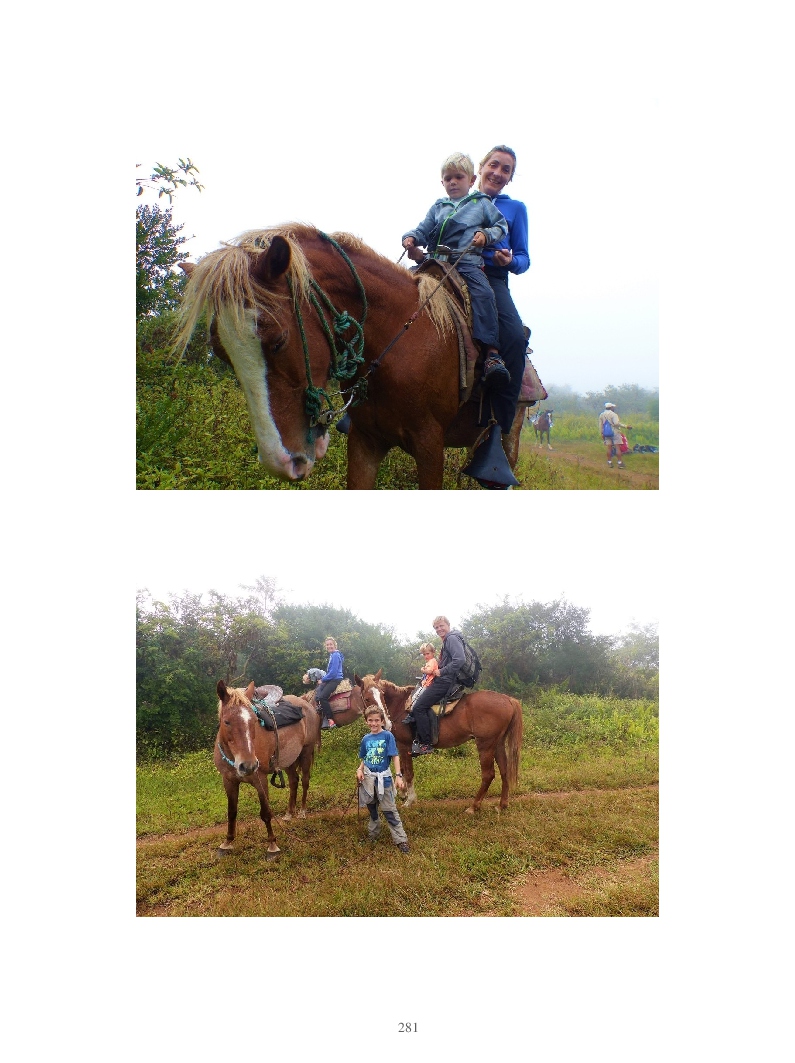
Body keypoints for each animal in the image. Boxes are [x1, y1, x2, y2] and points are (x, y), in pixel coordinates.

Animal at [175, 225, 525, 489]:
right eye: (222, 354)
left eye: (278, 342)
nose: (282, 462)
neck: (400, 339)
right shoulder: (365, 440)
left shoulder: (429, 446)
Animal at [214, 680, 322, 856]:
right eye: (227, 722)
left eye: (253, 721)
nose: (248, 765)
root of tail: (306, 703)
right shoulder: (228, 781)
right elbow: (232, 812)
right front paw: (227, 842)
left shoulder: (261, 781)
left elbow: (265, 813)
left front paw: (272, 845)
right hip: (288, 760)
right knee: (293, 781)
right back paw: (289, 813)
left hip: (306, 752)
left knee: (305, 781)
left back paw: (302, 812)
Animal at [355, 671, 523, 812]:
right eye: (367, 698)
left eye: (382, 695)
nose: (385, 724)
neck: (400, 706)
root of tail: (508, 699)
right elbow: (401, 769)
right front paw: (403, 793)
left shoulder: (404, 747)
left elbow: (408, 772)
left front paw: (409, 800)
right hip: (498, 743)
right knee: (504, 770)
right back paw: (502, 805)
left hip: (485, 744)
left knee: (488, 774)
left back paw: (474, 807)